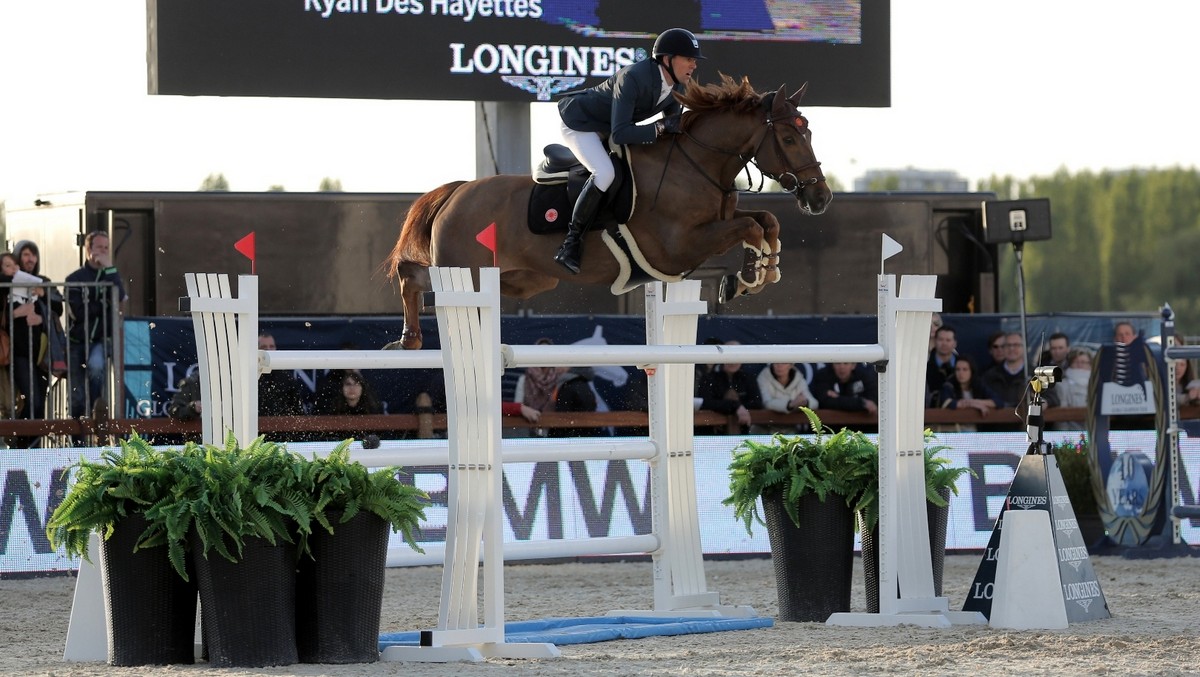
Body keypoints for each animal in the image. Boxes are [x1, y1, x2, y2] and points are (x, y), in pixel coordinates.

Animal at [386, 74, 835, 348]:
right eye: (790, 138)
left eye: (811, 132)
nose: (821, 197)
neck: (696, 163)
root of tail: (457, 193)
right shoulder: (677, 248)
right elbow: (750, 227)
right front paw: (747, 278)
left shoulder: (713, 227)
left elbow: (765, 221)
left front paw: (759, 273)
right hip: (465, 270)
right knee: (414, 275)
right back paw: (408, 338)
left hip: (523, 279)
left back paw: (410, 338)